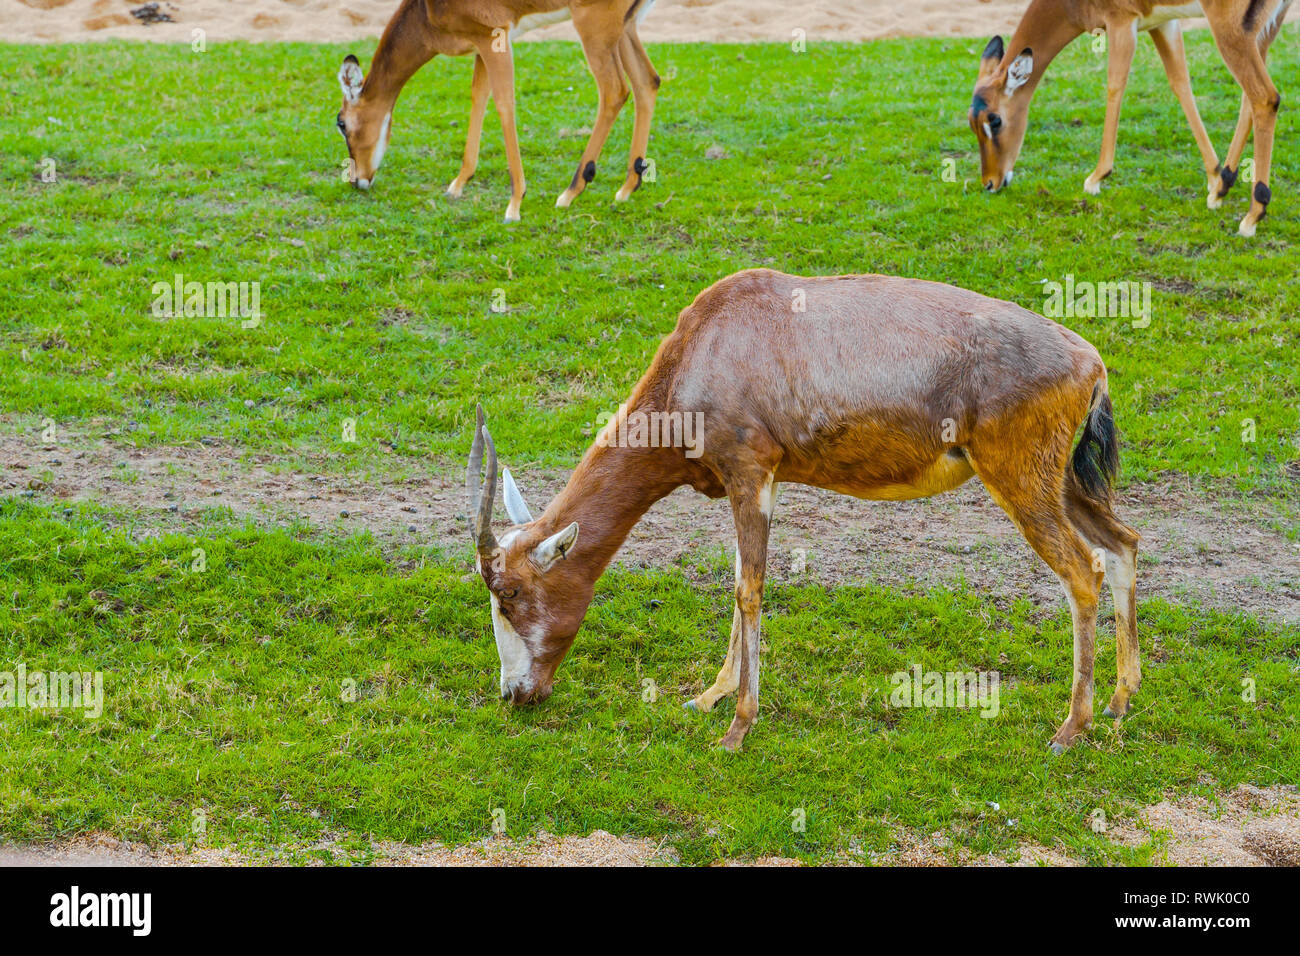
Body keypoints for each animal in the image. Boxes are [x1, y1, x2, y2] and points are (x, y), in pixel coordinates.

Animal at [335, 0, 660, 221]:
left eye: (341, 123)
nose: (357, 181)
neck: (425, 10)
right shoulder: (480, 46)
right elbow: (478, 97)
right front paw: (458, 184)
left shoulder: (494, 37)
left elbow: (504, 105)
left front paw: (514, 204)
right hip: (625, 28)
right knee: (647, 81)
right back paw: (627, 187)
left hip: (594, 29)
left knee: (615, 91)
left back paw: (570, 191)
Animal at [466, 269, 1141, 754]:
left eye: (509, 595)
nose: (514, 695)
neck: (711, 339)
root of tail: (1091, 361)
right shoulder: (762, 481)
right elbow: (741, 580)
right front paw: (709, 697)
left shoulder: (748, 473)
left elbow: (750, 590)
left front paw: (737, 730)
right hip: (1065, 486)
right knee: (1123, 544)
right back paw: (1118, 703)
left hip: (1021, 483)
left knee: (1083, 572)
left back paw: (1069, 730)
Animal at [969, 0, 1291, 236]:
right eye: (972, 123)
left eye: (994, 120)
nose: (990, 183)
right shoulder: (1163, 23)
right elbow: (1180, 83)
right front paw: (1213, 178)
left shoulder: (1121, 21)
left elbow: (1115, 85)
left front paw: (1096, 177)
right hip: (1262, 32)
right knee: (1250, 98)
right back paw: (1223, 187)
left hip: (1230, 31)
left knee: (1265, 97)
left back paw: (1253, 215)